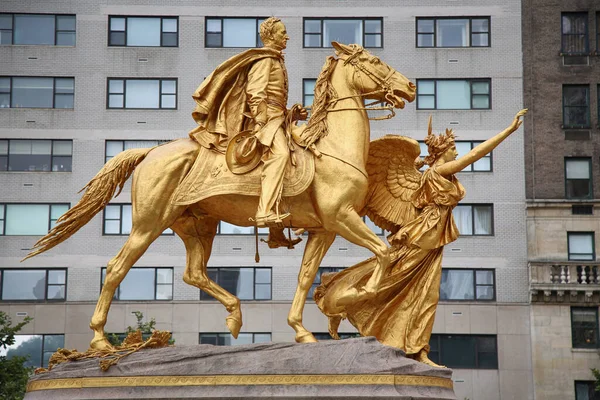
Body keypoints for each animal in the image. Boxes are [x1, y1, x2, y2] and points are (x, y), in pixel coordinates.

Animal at [24, 43, 418, 350]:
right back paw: (100, 341)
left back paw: (235, 316)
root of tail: (150, 151)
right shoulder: (341, 217)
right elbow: (384, 252)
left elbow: (306, 277)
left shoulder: (325, 229)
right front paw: (361, 295)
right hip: (149, 222)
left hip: (196, 225)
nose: (411, 86)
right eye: (375, 61)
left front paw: (302, 330)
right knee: (117, 268)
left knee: (193, 273)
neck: (331, 149)